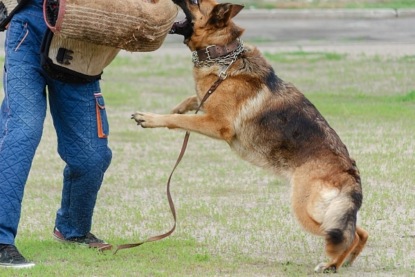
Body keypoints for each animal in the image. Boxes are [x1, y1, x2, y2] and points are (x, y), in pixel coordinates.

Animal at [132, 0, 368, 272]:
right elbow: (193, 100)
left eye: (195, 2)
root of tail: (350, 172)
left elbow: (182, 120)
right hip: (330, 212)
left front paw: (150, 118)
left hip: (308, 211)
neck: (223, 53)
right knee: (358, 232)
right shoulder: (208, 105)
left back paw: (331, 265)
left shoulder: (217, 124)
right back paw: (345, 261)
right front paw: (177, 107)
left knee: (348, 236)